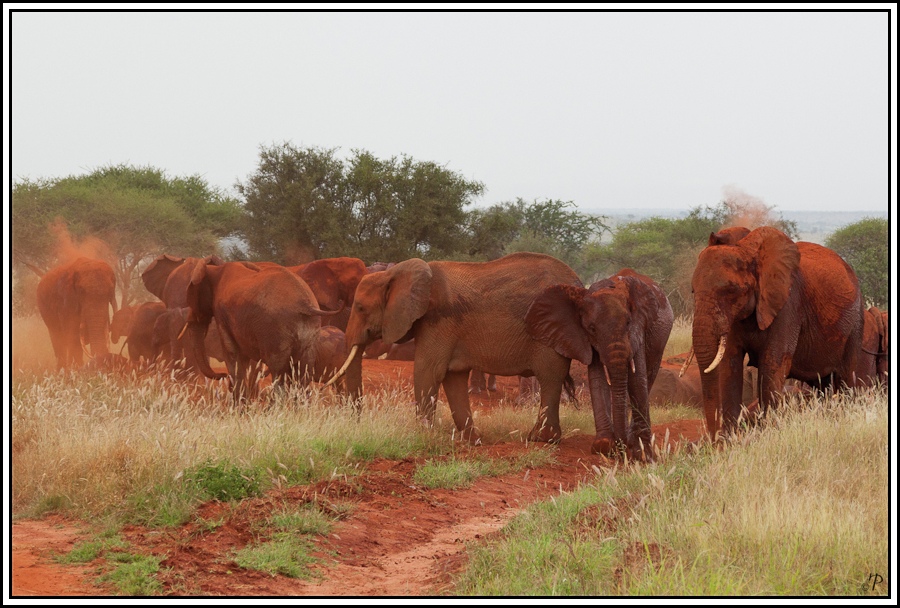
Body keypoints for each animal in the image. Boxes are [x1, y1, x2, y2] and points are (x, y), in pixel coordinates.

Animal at [183, 258, 342, 402]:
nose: (222, 375)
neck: (217, 269)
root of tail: (306, 305)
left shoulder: (223, 315)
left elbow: (233, 355)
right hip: (310, 333)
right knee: (302, 375)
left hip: (276, 332)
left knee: (279, 373)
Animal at [328, 252, 584, 442]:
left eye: (360, 308)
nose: (355, 423)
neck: (397, 273)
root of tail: (579, 282)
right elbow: (453, 377)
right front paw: (473, 440)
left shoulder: (438, 322)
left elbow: (428, 371)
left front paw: (421, 434)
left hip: (551, 332)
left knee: (550, 378)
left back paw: (540, 439)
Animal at [524, 268, 672, 458]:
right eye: (592, 329)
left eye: (628, 322)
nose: (621, 447)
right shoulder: (587, 338)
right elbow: (598, 379)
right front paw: (604, 446)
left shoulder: (638, 328)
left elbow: (637, 378)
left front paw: (642, 454)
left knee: (647, 376)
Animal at [688, 226, 864, 440]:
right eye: (693, 291)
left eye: (731, 290)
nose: (714, 440)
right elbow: (730, 364)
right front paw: (731, 440)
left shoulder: (787, 304)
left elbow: (772, 362)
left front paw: (767, 435)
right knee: (821, 385)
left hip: (855, 322)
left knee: (846, 377)